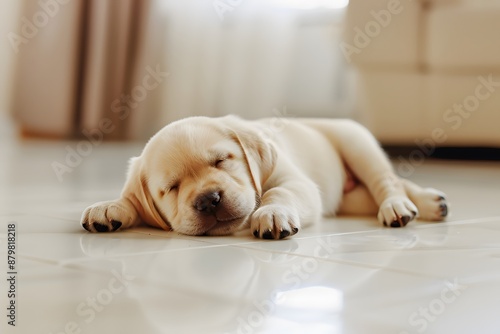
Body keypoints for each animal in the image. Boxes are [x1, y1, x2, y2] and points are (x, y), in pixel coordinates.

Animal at [80, 116, 448, 239]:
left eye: (222, 160)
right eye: (171, 188)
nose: (208, 200)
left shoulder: (296, 182)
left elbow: (277, 194)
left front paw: (271, 214)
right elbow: (129, 198)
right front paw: (110, 208)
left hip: (357, 144)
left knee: (388, 182)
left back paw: (403, 206)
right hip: (349, 198)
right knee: (380, 190)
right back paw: (431, 203)